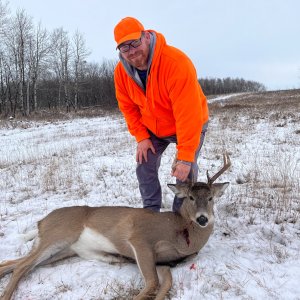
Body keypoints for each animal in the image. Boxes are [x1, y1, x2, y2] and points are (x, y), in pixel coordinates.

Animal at [0, 154, 231, 298]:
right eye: (191, 197)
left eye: (211, 198)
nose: (203, 219)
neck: (179, 232)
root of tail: (42, 221)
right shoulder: (139, 239)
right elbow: (152, 284)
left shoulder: (164, 263)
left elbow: (164, 285)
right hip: (57, 234)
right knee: (21, 266)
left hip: (62, 250)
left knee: (15, 264)